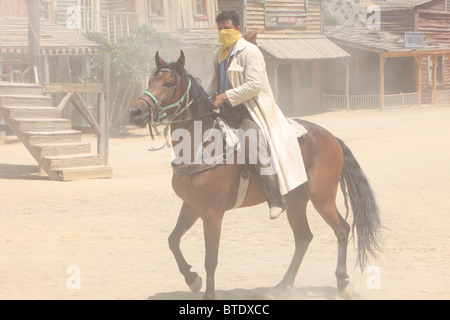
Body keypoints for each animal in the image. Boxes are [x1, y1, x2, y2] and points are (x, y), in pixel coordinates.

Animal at [128, 50, 382, 300]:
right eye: (150, 81)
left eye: (168, 83)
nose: (135, 112)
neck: (203, 143)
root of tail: (331, 137)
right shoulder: (192, 205)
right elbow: (173, 240)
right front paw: (192, 279)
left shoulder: (212, 213)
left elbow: (211, 259)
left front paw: (208, 293)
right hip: (295, 200)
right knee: (303, 238)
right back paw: (283, 285)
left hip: (322, 197)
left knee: (341, 229)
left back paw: (342, 282)